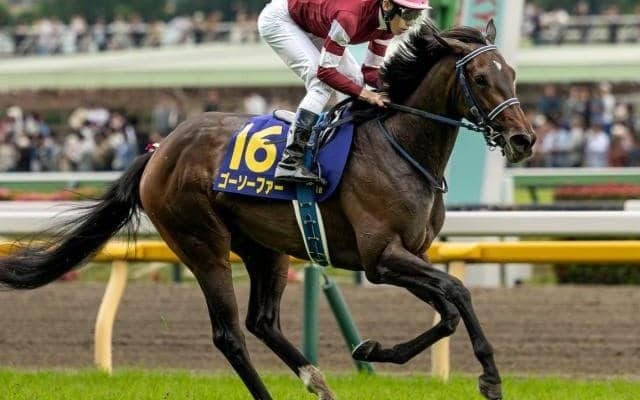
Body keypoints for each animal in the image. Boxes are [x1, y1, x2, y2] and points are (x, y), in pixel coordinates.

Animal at [0, 20, 535, 400]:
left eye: (512, 75)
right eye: (481, 78)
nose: (523, 139)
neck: (399, 146)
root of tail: (159, 148)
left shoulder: (409, 256)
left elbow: (447, 310)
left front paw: (372, 349)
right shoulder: (381, 258)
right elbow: (458, 293)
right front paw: (490, 377)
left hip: (265, 249)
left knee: (263, 321)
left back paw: (319, 383)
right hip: (202, 244)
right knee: (230, 334)